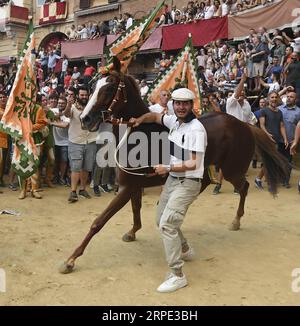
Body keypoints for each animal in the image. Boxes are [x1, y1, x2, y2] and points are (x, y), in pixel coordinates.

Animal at [58, 58, 288, 272]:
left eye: (108, 88)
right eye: (93, 87)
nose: (86, 119)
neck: (140, 134)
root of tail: (245, 125)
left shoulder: (127, 187)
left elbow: (99, 221)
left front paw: (71, 259)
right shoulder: (133, 185)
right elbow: (135, 209)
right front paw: (132, 232)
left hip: (233, 169)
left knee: (243, 187)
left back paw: (236, 220)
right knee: (206, 183)